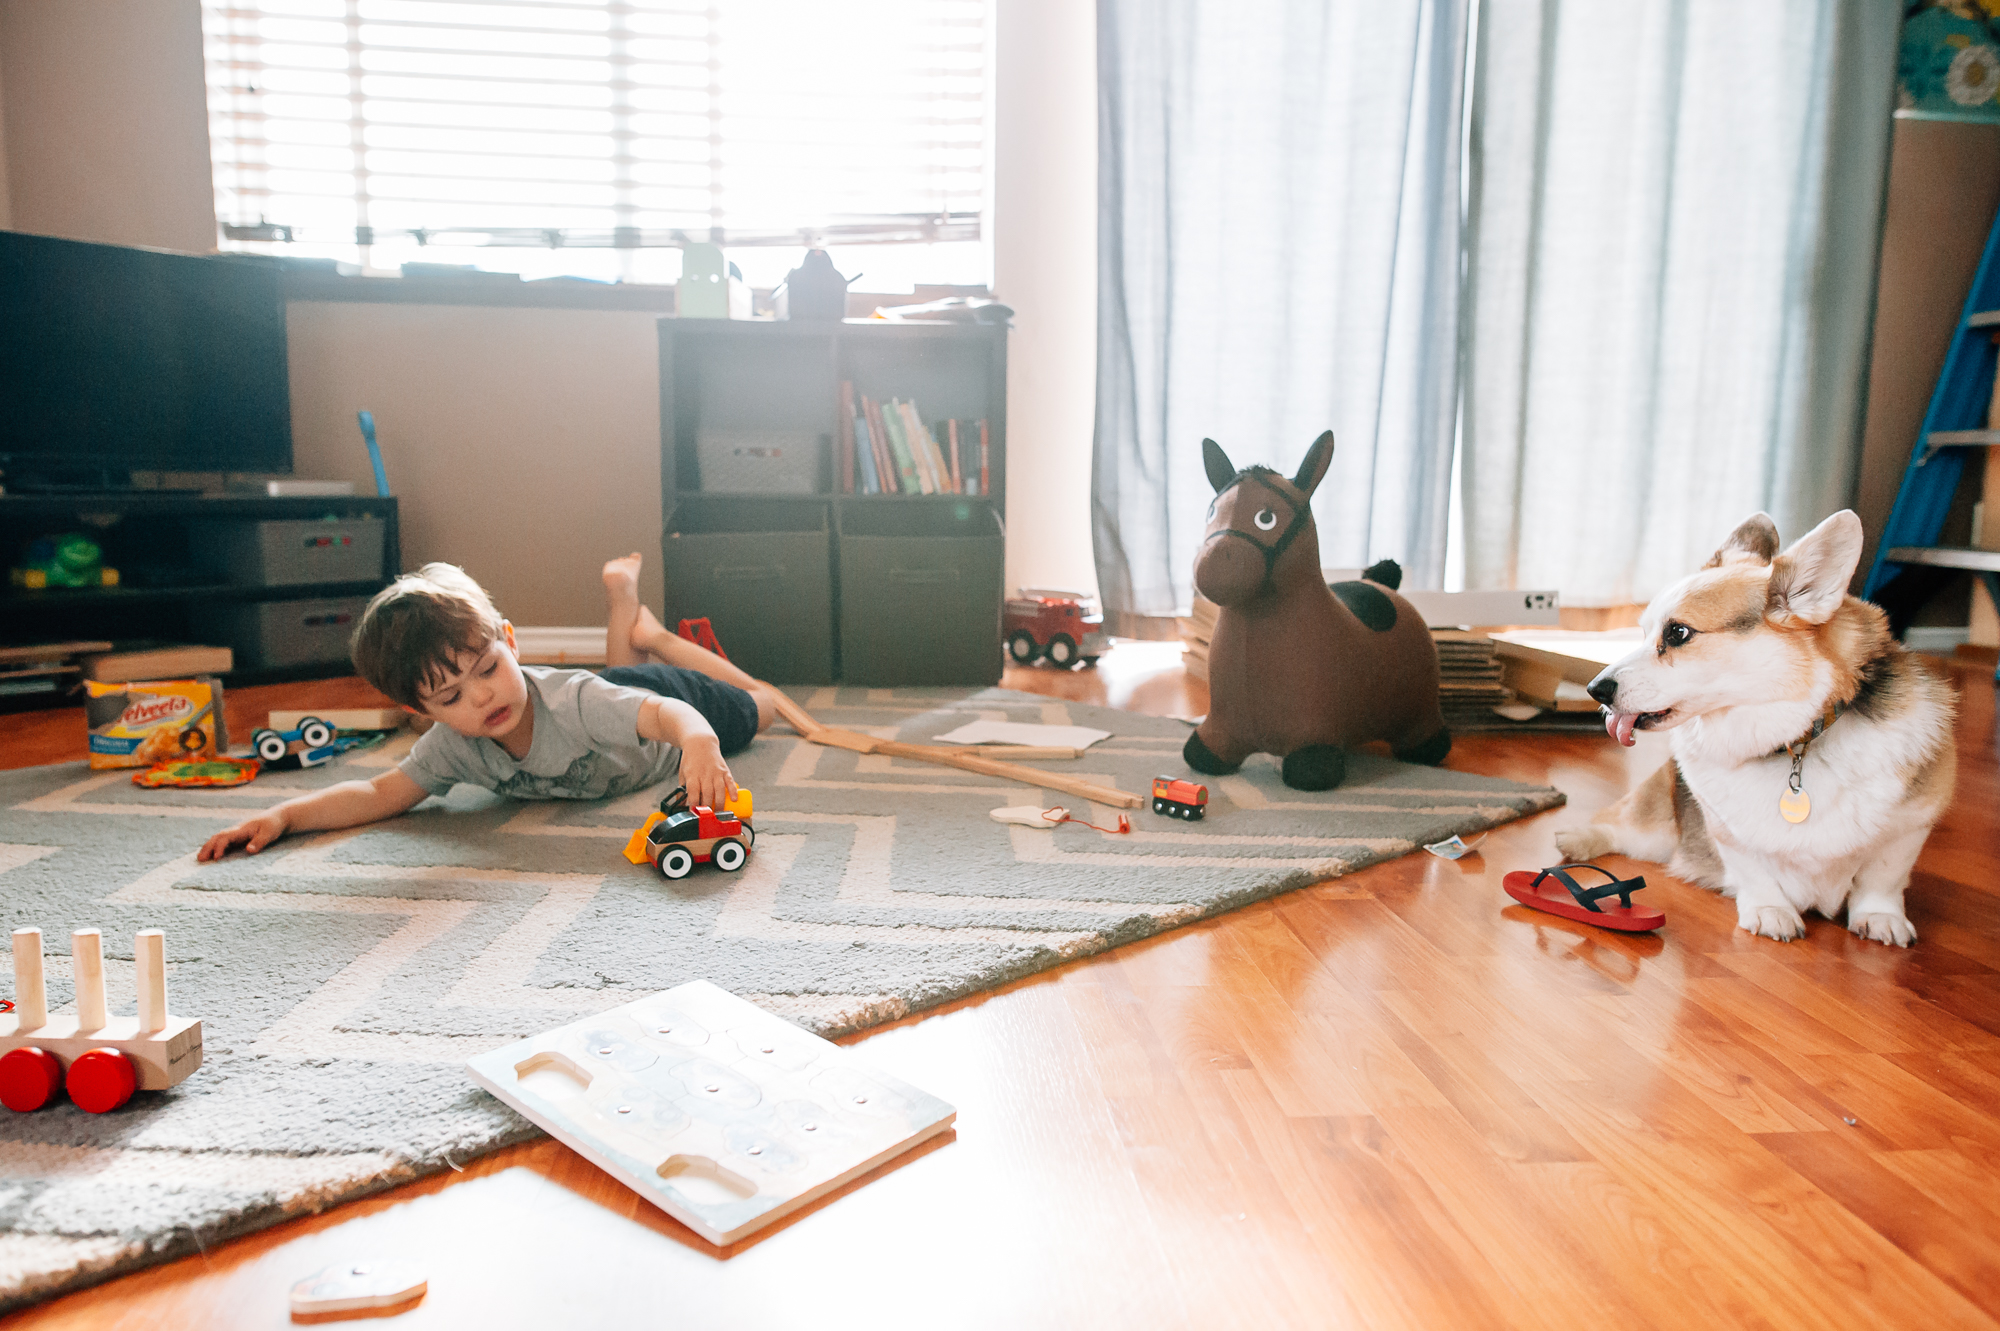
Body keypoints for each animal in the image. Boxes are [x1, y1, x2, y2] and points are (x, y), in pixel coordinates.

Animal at [1552, 507, 1960, 943]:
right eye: (1644, 632)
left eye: (1677, 632)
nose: (1594, 690)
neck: (1795, 737)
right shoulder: (1726, 829)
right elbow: (1753, 871)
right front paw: (1770, 910)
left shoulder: (1910, 828)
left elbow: (1882, 880)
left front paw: (1882, 918)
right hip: (1653, 821)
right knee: (1619, 824)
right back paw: (1575, 840)